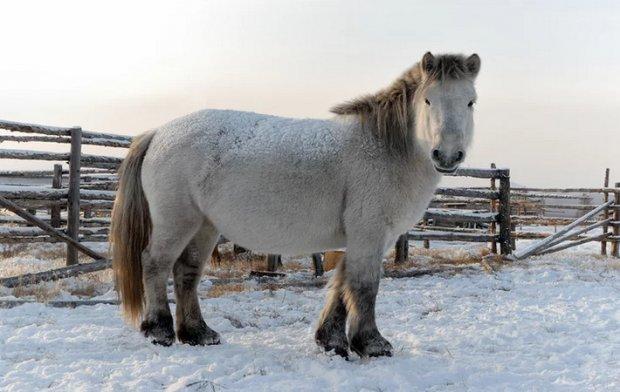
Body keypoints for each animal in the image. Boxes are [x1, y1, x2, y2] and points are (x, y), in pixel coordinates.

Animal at [110, 52, 480, 358]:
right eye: (428, 100)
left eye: (470, 102)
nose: (447, 156)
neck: (383, 148)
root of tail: (159, 133)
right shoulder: (370, 234)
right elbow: (363, 286)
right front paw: (371, 344)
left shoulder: (364, 238)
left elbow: (341, 284)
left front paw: (332, 341)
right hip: (176, 222)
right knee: (155, 264)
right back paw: (158, 330)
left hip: (204, 226)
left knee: (186, 272)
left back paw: (198, 333)